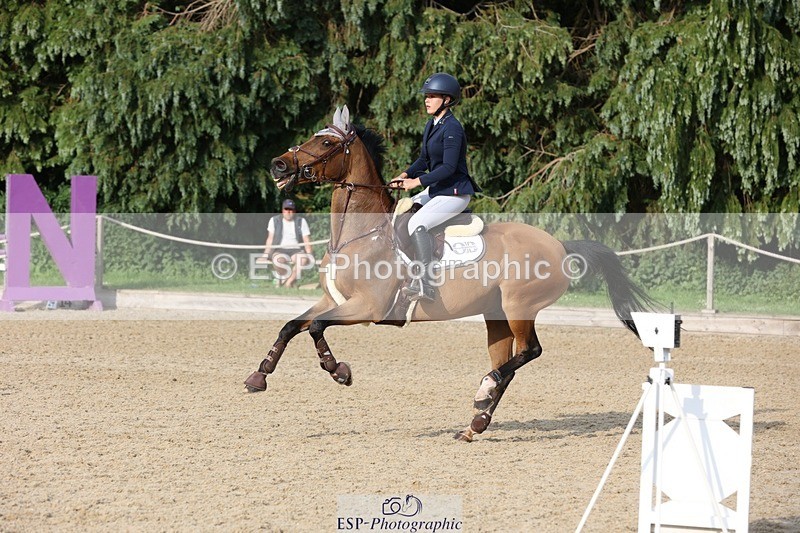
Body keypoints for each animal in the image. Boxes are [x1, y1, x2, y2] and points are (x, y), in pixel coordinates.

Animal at [244, 106, 658, 442]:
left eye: (327, 142)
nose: (278, 165)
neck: (362, 233)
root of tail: (558, 245)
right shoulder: (333, 300)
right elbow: (291, 325)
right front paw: (259, 376)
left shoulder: (366, 308)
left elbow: (315, 328)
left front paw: (339, 371)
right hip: (496, 316)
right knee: (507, 365)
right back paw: (475, 423)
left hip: (518, 307)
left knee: (529, 352)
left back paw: (483, 393)